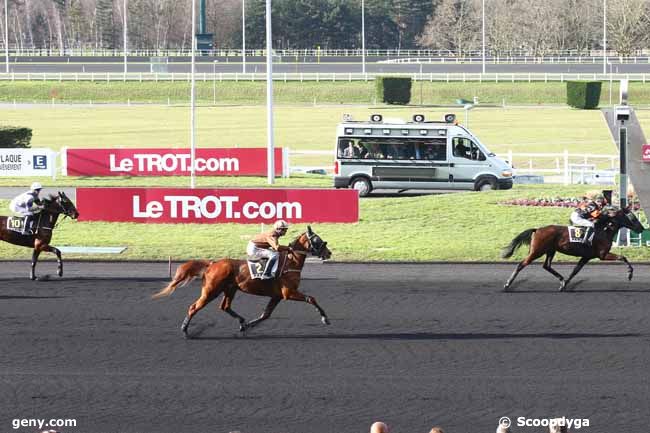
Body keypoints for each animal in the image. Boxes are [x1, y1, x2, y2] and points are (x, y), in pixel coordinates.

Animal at [154, 226, 332, 338]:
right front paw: (325, 318)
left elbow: (266, 314)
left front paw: (247, 326)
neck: (290, 263)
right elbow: (311, 299)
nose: (329, 253)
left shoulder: (277, 296)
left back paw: (241, 321)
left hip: (230, 289)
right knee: (194, 307)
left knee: (225, 306)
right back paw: (185, 330)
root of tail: (212, 264)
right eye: (317, 240)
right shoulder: (288, 292)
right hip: (211, 290)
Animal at [502, 206, 644, 290]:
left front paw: (565, 284)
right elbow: (622, 257)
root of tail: (537, 229)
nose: (641, 228)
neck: (604, 230)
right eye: (633, 217)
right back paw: (507, 284)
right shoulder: (603, 255)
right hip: (537, 251)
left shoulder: (586, 257)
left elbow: (575, 271)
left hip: (550, 250)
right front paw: (630, 274)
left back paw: (561, 280)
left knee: (546, 266)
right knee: (522, 264)